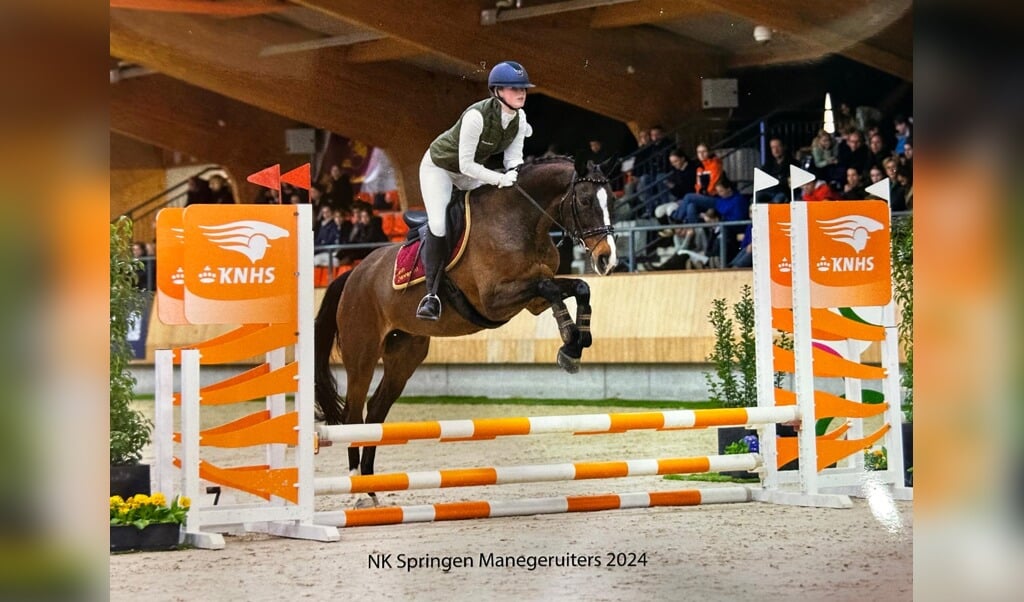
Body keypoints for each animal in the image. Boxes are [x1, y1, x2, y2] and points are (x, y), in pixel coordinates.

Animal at [311, 156, 614, 503]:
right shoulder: (495, 300)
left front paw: (575, 344)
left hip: (405, 354)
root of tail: (353, 273)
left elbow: (576, 287)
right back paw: (358, 488)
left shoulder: (532, 301)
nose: (606, 259)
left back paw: (372, 488)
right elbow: (550, 287)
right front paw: (570, 340)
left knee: (375, 412)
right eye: (586, 200)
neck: (523, 221)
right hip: (362, 352)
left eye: (611, 198)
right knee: (353, 414)